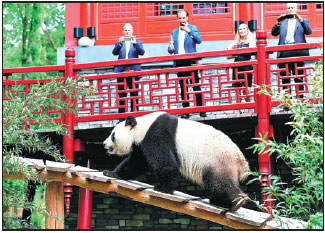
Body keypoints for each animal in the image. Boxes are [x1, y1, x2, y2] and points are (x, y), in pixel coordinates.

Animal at [102, 111, 249, 211]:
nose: (104, 144)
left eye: (112, 135)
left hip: (217, 160)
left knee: (219, 181)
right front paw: (111, 173)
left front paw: (163, 188)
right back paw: (220, 201)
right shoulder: (141, 144)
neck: (142, 127)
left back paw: (236, 202)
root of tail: (241, 160)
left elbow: (166, 162)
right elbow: (136, 162)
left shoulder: (157, 133)